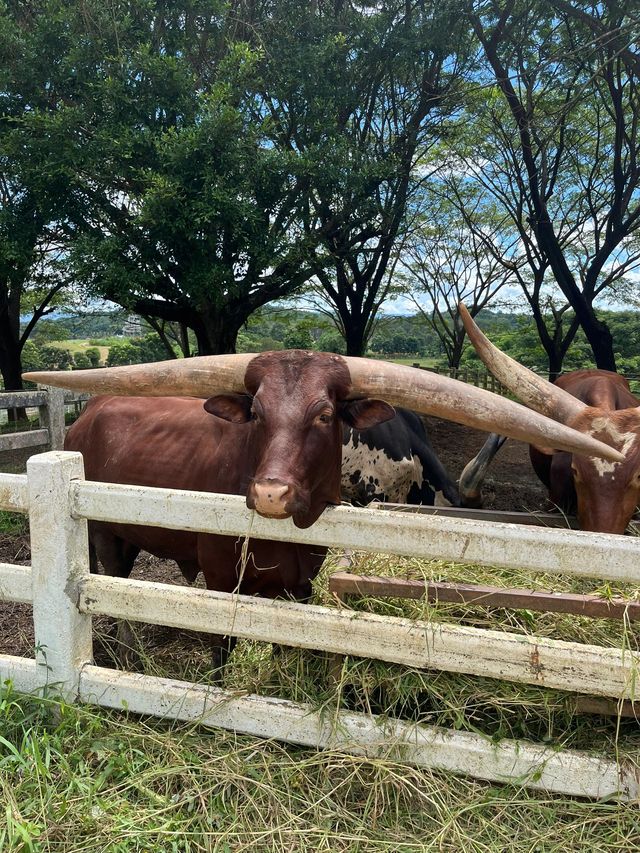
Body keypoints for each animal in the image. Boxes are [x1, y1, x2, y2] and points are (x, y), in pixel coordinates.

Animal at [23, 350, 620, 668]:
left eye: (326, 414)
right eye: (257, 412)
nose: (270, 494)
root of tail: (87, 413)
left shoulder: (302, 582)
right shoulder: (220, 579)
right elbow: (221, 650)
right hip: (105, 531)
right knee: (111, 577)